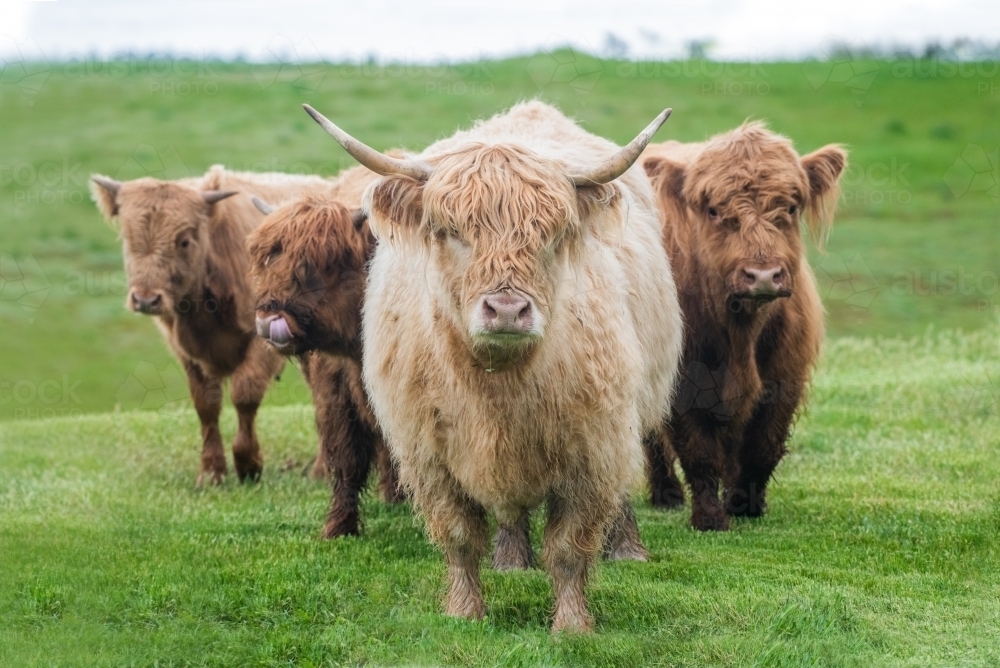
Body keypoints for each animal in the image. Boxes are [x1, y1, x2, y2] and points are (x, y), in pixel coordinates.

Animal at [248, 192, 404, 536]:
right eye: (269, 259)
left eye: (321, 265)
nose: (267, 320)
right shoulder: (334, 393)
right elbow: (347, 460)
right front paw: (339, 527)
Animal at [300, 100, 684, 632]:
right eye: (451, 230)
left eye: (552, 235)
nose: (506, 310)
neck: (496, 389)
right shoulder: (428, 456)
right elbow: (459, 537)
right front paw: (464, 612)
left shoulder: (594, 448)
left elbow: (570, 546)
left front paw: (572, 625)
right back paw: (511, 559)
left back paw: (626, 549)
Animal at [644, 121, 848, 532]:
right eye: (713, 210)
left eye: (791, 207)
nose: (763, 276)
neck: (741, 332)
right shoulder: (683, 382)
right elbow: (698, 450)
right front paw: (709, 518)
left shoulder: (785, 377)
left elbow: (762, 445)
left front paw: (745, 505)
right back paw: (666, 493)